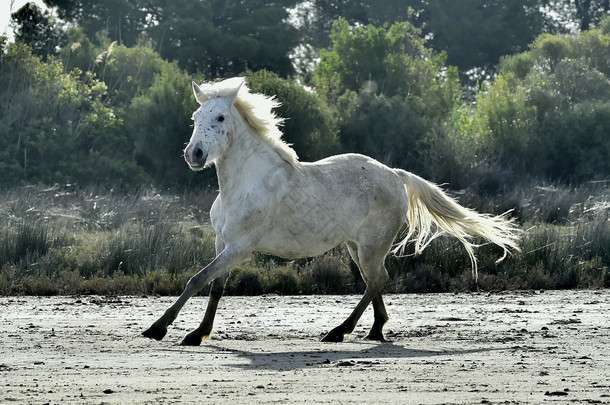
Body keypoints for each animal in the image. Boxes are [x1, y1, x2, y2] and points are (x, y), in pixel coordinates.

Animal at [142, 76, 516, 344]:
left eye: (220, 117)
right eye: (195, 117)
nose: (194, 155)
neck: (245, 182)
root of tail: (395, 174)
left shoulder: (239, 246)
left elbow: (197, 279)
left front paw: (160, 328)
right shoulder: (223, 243)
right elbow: (215, 286)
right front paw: (198, 333)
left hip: (371, 246)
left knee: (377, 280)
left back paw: (340, 331)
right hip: (356, 247)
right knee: (375, 281)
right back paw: (374, 331)